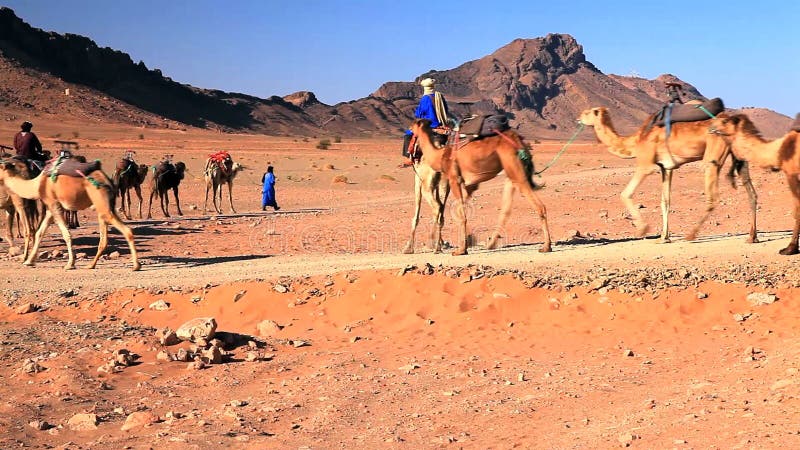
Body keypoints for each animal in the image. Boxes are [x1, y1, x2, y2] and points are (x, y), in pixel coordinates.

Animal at [0, 162, 140, 270]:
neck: (37, 184)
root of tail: (108, 181)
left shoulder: (54, 204)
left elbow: (66, 234)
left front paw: (70, 264)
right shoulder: (51, 208)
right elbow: (40, 232)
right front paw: (28, 261)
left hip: (101, 201)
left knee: (126, 230)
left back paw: (136, 266)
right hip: (105, 205)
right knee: (104, 238)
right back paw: (91, 265)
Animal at [410, 118, 552, 255]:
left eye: (412, 127)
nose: (410, 150)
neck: (440, 156)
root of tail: (518, 141)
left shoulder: (454, 178)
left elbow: (460, 213)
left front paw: (460, 250)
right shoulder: (470, 185)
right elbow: (460, 210)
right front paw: (464, 245)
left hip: (515, 169)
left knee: (539, 206)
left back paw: (546, 246)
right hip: (510, 172)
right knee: (506, 209)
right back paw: (491, 244)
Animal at [580, 107, 756, 243]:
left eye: (587, 112)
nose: (578, 118)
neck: (637, 139)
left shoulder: (646, 164)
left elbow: (625, 193)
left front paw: (644, 229)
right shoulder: (666, 167)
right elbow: (665, 201)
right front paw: (664, 237)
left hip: (713, 158)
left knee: (713, 198)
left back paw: (691, 235)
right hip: (738, 155)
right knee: (752, 194)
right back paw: (752, 237)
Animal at [708, 114, 800, 255]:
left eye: (725, 121)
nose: (711, 127)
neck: (779, 150)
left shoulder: (791, 174)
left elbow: (797, 210)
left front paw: (790, 248)